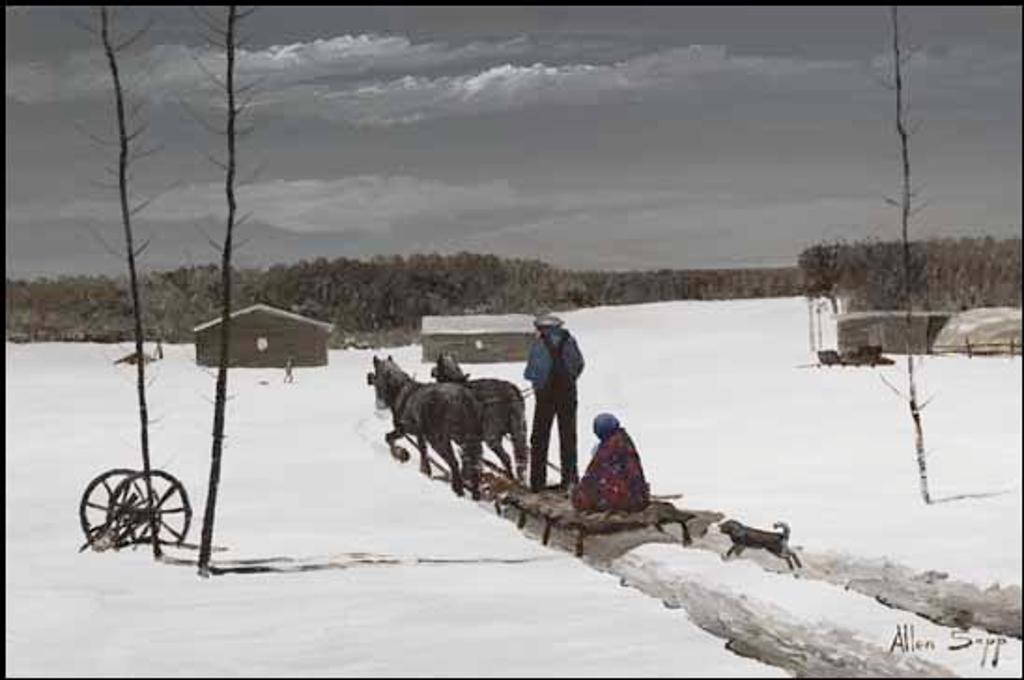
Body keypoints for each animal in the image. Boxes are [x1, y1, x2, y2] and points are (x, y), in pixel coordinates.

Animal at [368, 356, 483, 499]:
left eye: (376, 376)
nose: (379, 405)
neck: (399, 390)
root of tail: (462, 398)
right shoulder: (420, 434)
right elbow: (423, 452)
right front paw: (425, 471)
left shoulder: (404, 429)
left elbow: (389, 438)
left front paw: (402, 454)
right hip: (465, 440)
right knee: (473, 465)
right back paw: (474, 493)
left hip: (439, 440)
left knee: (454, 463)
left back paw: (458, 489)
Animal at [430, 352, 528, 481]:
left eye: (438, 366)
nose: (432, 371)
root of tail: (510, 391)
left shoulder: (466, 440)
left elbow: (468, 459)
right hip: (518, 430)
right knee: (521, 458)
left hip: (491, 435)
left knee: (506, 457)